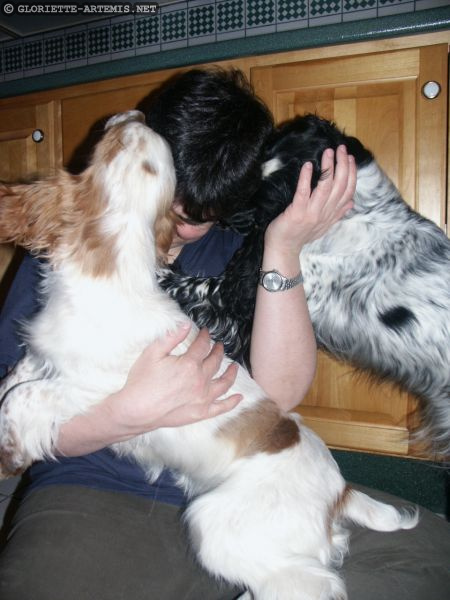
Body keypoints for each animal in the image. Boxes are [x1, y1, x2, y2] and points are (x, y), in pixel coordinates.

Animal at [0, 111, 417, 599]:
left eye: (119, 139)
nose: (132, 113)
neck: (112, 267)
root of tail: (339, 491)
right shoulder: (44, 354)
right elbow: (16, 375)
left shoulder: (103, 391)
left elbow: (24, 397)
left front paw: (10, 452)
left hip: (216, 523)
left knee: (315, 583)